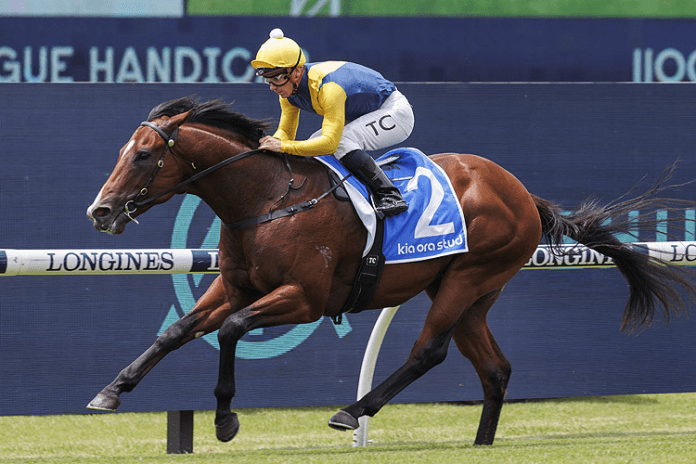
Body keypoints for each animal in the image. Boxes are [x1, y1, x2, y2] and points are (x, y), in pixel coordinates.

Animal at [87, 95, 696, 446]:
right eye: (121, 152)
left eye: (144, 156)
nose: (101, 211)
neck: (268, 198)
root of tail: (524, 195)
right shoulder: (235, 285)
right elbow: (175, 331)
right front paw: (112, 392)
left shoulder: (304, 298)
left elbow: (233, 330)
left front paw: (225, 419)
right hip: (471, 293)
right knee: (494, 368)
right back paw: (480, 444)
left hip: (469, 277)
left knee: (429, 352)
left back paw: (352, 411)